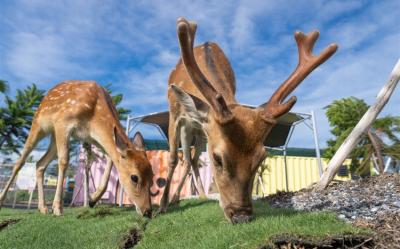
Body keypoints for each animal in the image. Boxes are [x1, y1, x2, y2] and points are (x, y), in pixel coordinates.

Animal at [0, 80, 154, 217]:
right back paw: (3, 200)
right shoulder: (63, 122)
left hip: (54, 138)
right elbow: (64, 160)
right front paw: (58, 208)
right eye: (134, 177)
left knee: (40, 163)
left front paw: (92, 199)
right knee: (20, 162)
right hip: (39, 124)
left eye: (152, 176)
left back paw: (42, 207)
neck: (93, 116)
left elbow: (111, 158)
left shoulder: (92, 137)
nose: (147, 211)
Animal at [159, 17, 338, 224]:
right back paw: (173, 200)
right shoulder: (174, 112)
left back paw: (201, 195)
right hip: (187, 128)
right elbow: (172, 158)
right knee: (185, 158)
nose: (241, 215)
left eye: (261, 157)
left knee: (192, 161)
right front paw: (162, 206)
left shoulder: (205, 130)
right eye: (217, 158)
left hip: (200, 134)